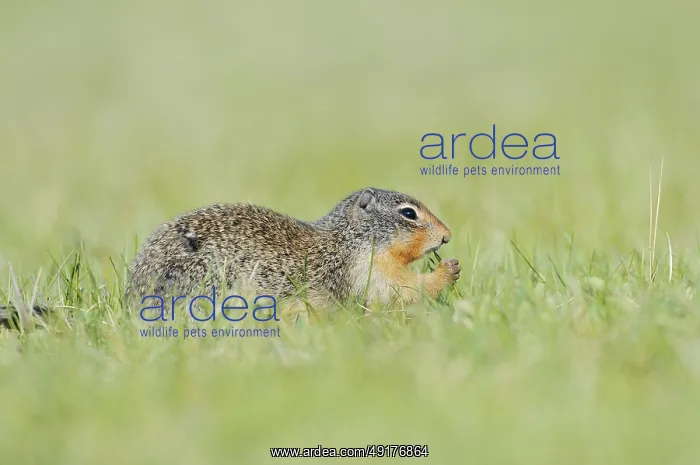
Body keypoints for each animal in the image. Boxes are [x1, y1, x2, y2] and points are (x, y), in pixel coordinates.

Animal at [0, 188, 460, 327]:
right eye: (408, 213)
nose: (448, 236)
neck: (350, 239)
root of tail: (132, 302)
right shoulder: (363, 271)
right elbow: (393, 293)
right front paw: (446, 272)